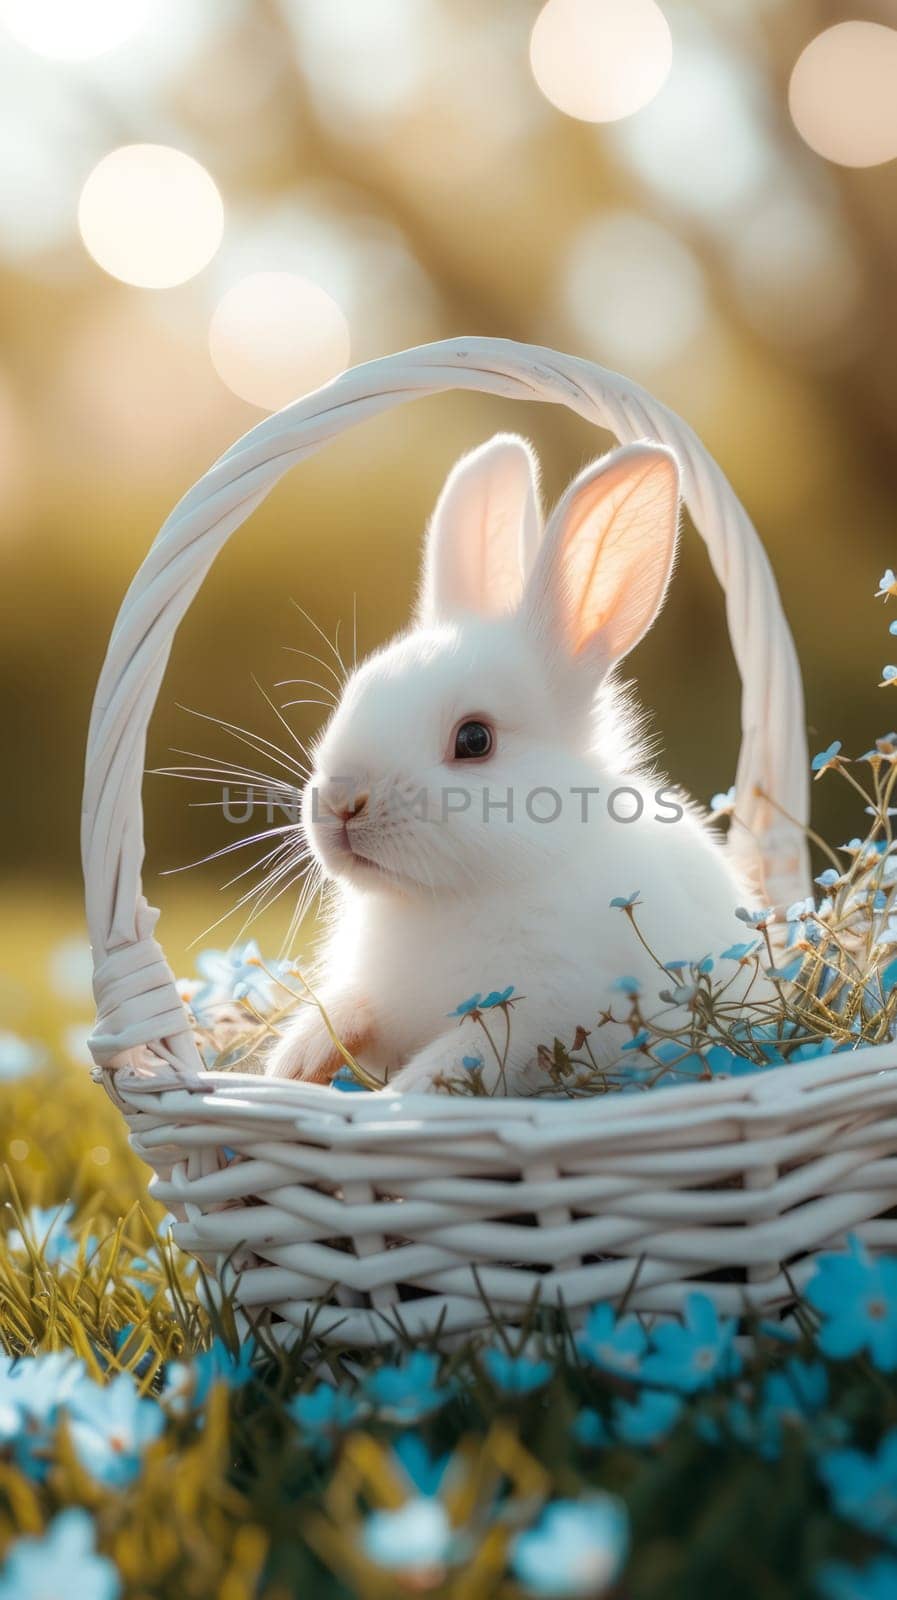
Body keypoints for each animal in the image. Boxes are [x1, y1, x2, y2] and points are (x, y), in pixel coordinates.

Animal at [265, 432, 748, 1094]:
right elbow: (350, 1007)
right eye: (356, 692)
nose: (341, 803)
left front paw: (399, 1098)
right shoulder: (380, 999)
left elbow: (460, 1058)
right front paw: (296, 1061)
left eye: (474, 740)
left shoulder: (538, 1007)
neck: (443, 900)